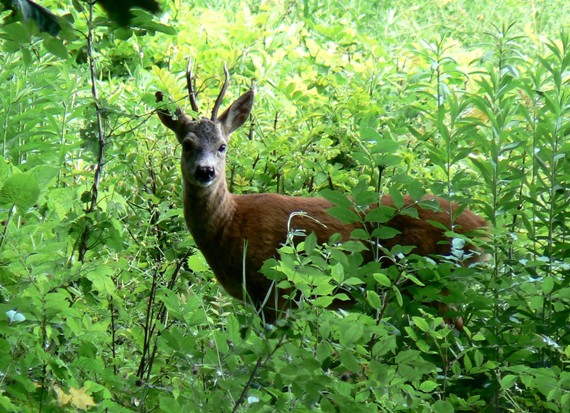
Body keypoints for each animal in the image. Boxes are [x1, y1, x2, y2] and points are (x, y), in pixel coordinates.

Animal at [155, 66, 484, 326]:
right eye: (187, 143)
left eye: (222, 146)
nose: (206, 171)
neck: (232, 224)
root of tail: (483, 227)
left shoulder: (276, 288)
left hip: (435, 278)